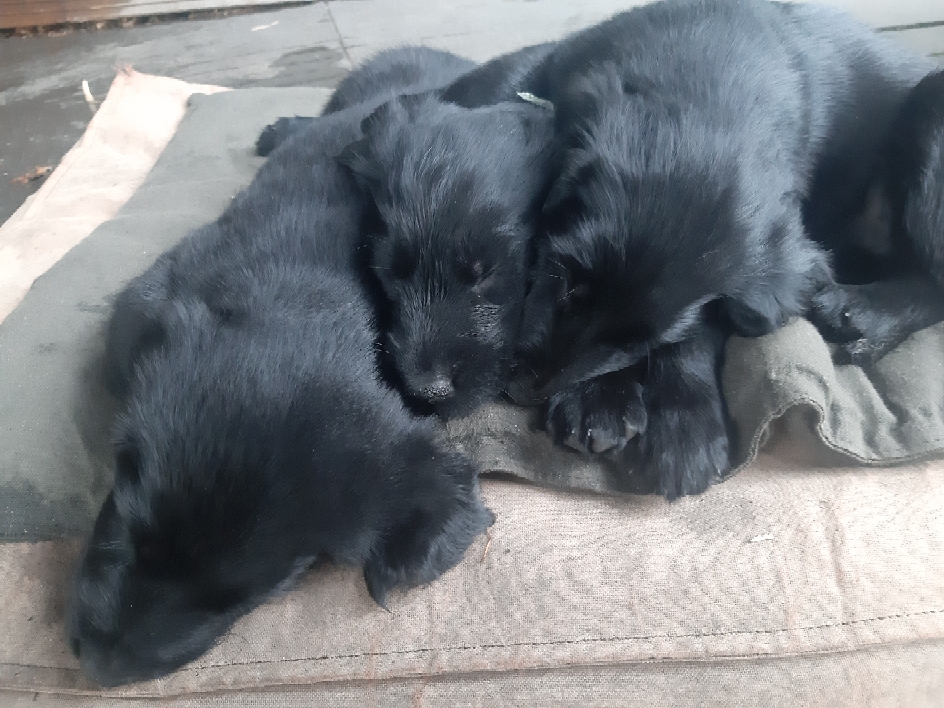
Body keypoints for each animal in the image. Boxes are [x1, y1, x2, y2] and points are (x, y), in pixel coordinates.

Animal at [512, 0, 932, 498]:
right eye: (564, 280)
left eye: (641, 342)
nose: (520, 392)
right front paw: (595, 400)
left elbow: (699, 331)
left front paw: (682, 427)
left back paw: (863, 312)